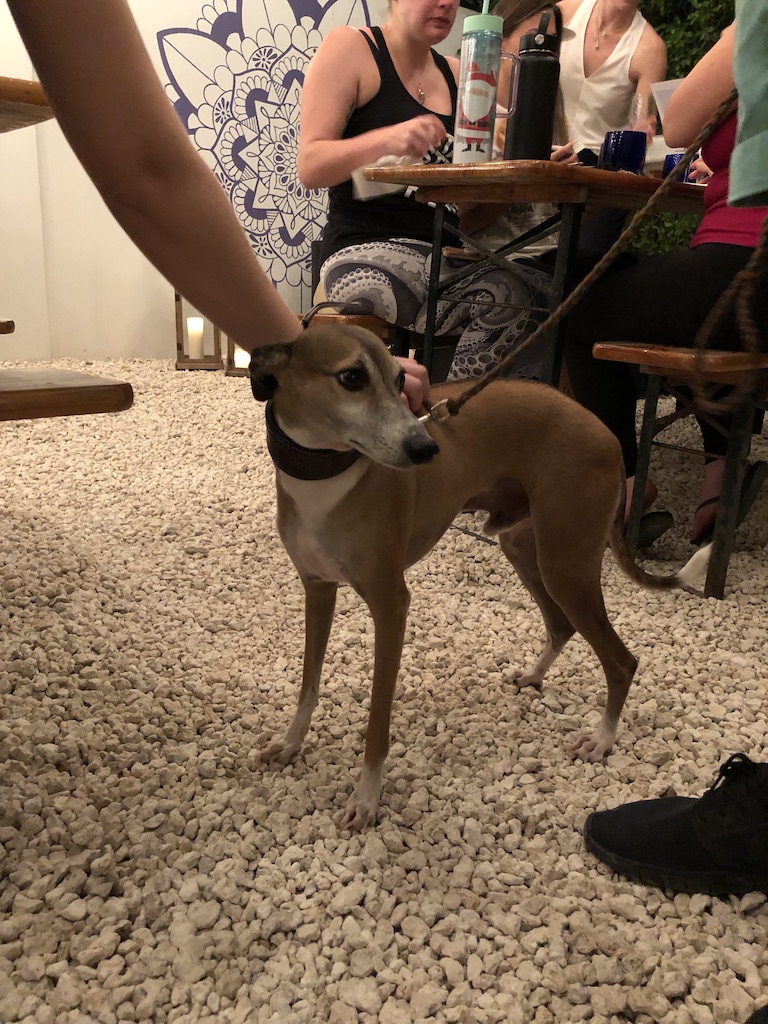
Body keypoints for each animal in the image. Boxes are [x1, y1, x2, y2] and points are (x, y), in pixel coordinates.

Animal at [249, 323, 708, 829]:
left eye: (399, 378)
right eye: (352, 376)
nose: (426, 448)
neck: (327, 476)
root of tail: (608, 434)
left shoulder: (391, 605)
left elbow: (377, 721)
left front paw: (366, 797)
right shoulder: (318, 590)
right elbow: (308, 684)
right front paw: (291, 743)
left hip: (567, 564)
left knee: (622, 661)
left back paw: (602, 739)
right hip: (526, 549)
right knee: (560, 625)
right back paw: (534, 677)